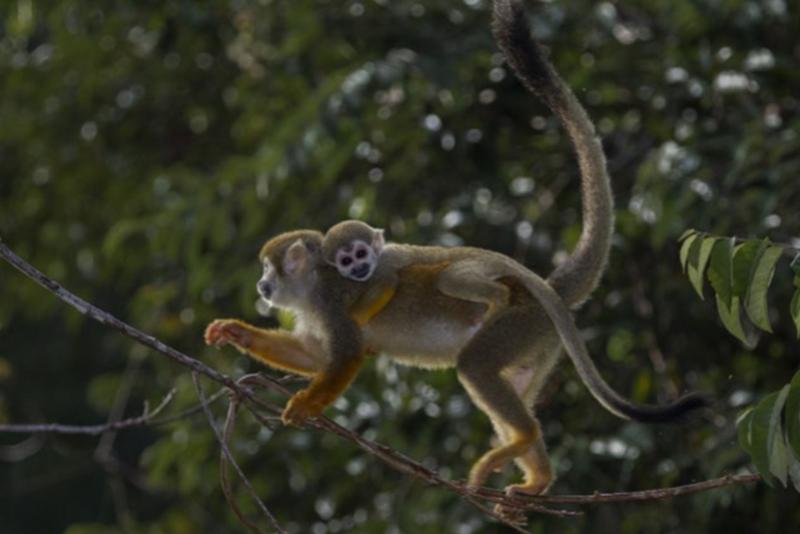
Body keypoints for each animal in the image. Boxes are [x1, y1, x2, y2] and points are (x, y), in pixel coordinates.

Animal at [205, 0, 708, 500]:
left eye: (269, 271)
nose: (262, 286)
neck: (315, 285)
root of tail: (542, 287)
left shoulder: (331, 299)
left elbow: (345, 355)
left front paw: (305, 405)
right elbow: (313, 356)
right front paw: (236, 332)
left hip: (517, 322)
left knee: (476, 364)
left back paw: (523, 437)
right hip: (540, 340)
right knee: (510, 380)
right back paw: (536, 475)